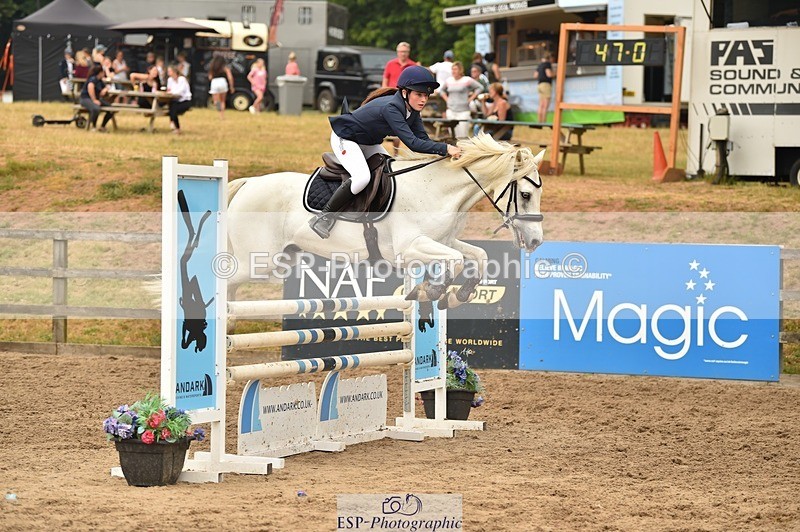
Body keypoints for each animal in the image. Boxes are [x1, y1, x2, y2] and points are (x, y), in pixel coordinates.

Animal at [226, 133, 545, 310]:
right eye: (526, 194)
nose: (536, 241)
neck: (436, 189)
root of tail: (248, 183)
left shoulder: (443, 241)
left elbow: (477, 256)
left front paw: (457, 296)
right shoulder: (409, 248)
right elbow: (454, 261)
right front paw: (429, 291)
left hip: (280, 258)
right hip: (257, 262)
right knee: (225, 284)